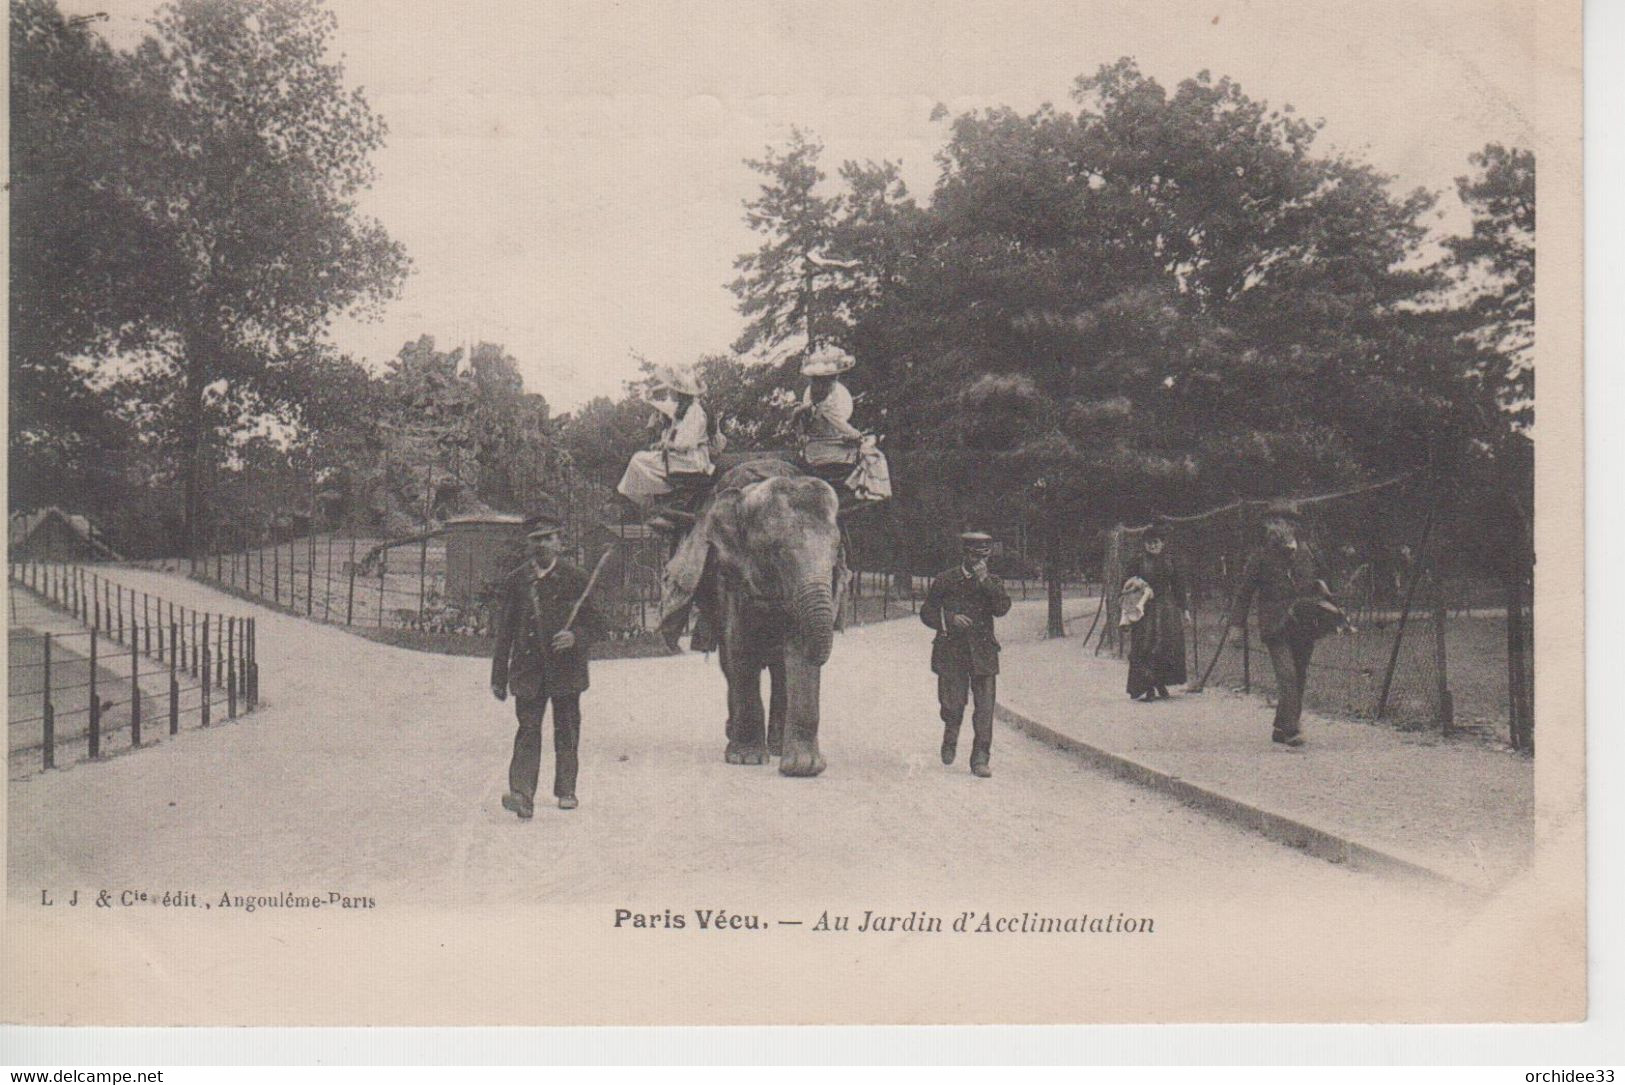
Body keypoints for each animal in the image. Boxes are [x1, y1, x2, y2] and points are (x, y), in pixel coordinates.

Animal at [659, 461, 845, 776]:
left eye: (835, 548)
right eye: (776, 549)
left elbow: (797, 651)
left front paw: (803, 768)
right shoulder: (730, 574)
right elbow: (741, 648)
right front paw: (746, 759)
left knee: (780, 671)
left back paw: (777, 746)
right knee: (729, 662)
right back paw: (734, 737)